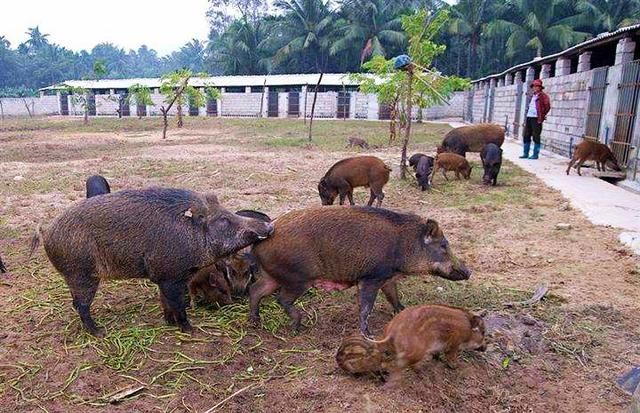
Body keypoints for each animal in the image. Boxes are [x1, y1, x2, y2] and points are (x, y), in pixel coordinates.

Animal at [250, 206, 470, 334]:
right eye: (443, 245)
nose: (469, 272)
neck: (404, 245)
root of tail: (262, 239)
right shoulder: (370, 278)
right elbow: (365, 308)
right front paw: (369, 335)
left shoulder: (387, 278)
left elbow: (393, 297)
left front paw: (403, 311)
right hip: (298, 279)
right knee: (281, 299)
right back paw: (297, 327)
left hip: (274, 276)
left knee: (256, 291)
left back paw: (256, 323)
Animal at [336, 302, 484, 380]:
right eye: (483, 332)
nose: (485, 347)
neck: (467, 327)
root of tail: (391, 332)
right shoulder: (454, 343)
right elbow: (451, 355)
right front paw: (455, 367)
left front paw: (438, 359)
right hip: (416, 352)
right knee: (392, 364)